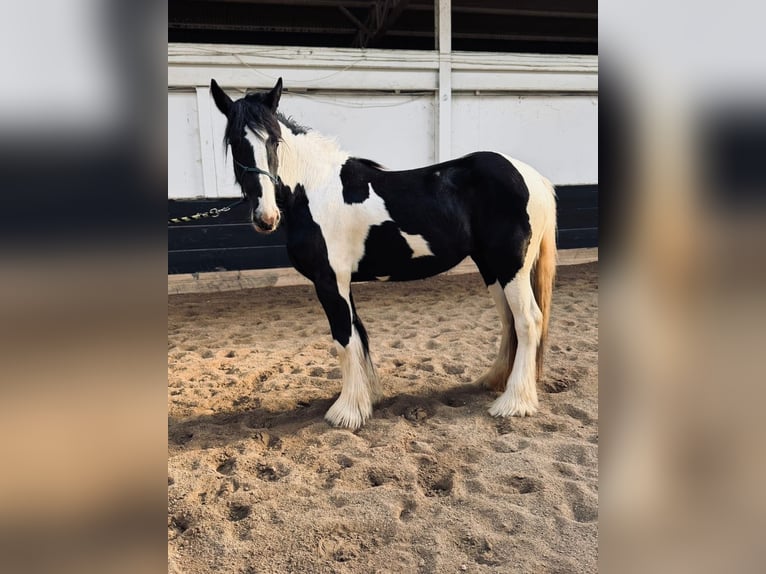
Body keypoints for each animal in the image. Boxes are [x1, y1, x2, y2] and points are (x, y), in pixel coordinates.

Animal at [209, 78, 557, 430]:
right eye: (236, 143)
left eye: (275, 140)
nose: (266, 217)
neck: (316, 190)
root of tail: (532, 177)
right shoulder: (341, 282)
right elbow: (358, 334)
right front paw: (367, 399)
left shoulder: (329, 281)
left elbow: (344, 339)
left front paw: (347, 412)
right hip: (492, 268)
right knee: (509, 321)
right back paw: (493, 381)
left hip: (510, 267)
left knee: (527, 320)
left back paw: (514, 403)